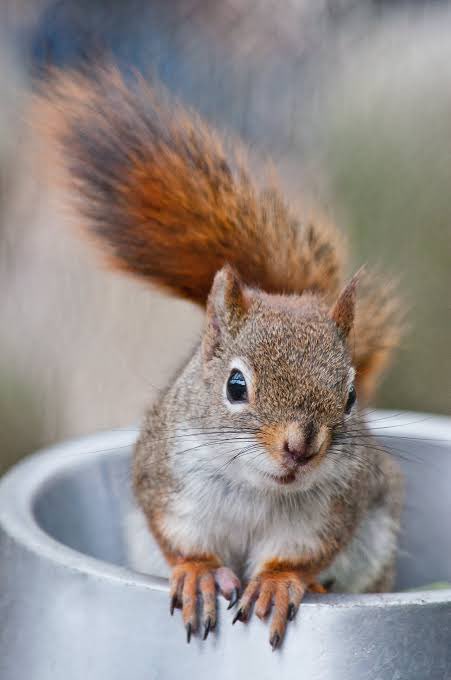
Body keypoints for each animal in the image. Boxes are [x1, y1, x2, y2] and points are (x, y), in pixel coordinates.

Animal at [38, 67, 404, 648]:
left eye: (350, 398)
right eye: (236, 386)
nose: (300, 448)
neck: (259, 489)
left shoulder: (332, 508)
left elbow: (299, 554)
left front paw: (278, 582)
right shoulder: (169, 484)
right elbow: (182, 539)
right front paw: (201, 573)